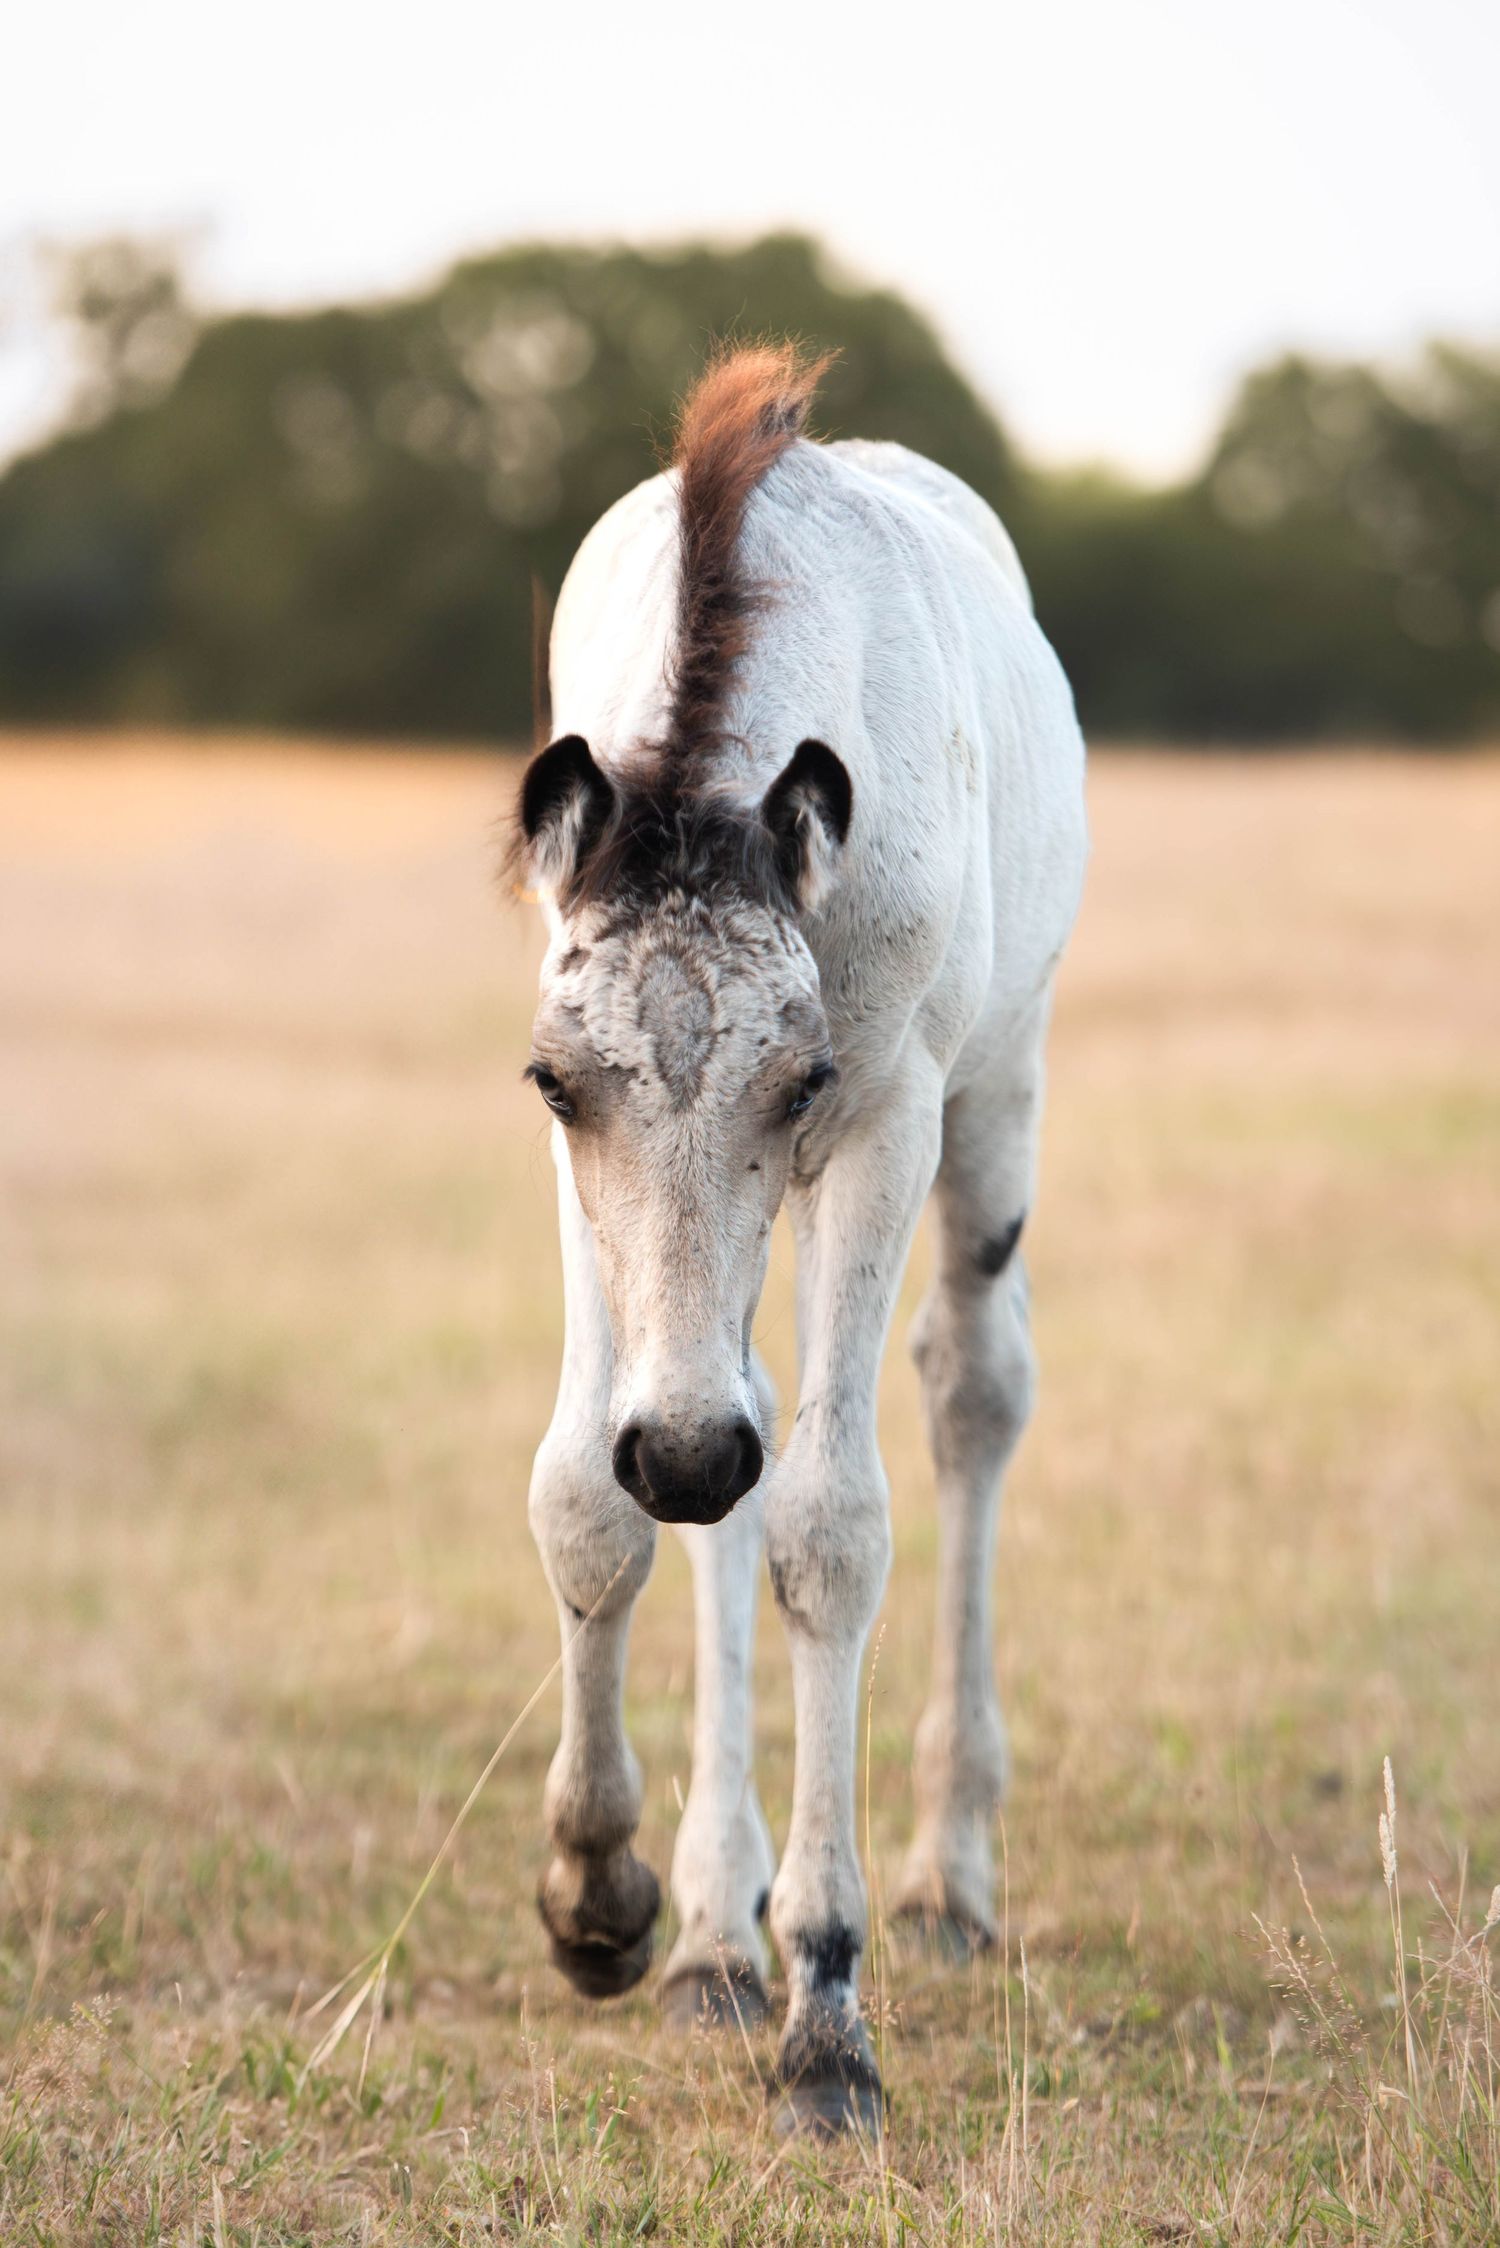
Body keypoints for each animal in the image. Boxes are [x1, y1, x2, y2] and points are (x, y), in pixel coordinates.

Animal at [512, 343, 1087, 2136]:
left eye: (805, 1076)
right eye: (555, 1083)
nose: (683, 1446)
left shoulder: (887, 1111)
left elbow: (833, 1526)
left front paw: (828, 2010)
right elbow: (591, 1495)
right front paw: (605, 1898)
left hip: (1002, 1091)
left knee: (969, 1395)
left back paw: (944, 1877)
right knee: (727, 1464)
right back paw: (711, 1931)